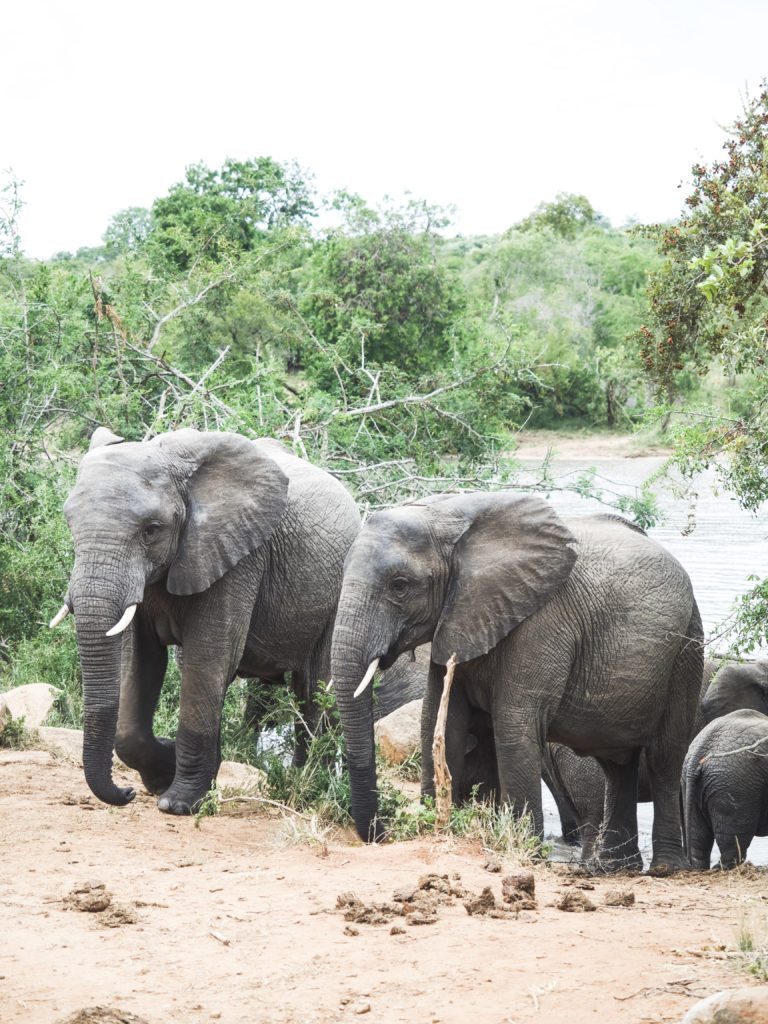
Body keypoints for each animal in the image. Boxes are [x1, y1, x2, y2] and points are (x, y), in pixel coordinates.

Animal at [54, 428, 360, 811]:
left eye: (151, 530)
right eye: (69, 522)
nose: (126, 793)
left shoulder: (240, 556)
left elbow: (208, 657)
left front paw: (177, 803)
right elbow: (141, 660)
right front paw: (162, 776)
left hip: (337, 595)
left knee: (314, 692)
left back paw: (307, 787)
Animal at [331, 493, 704, 872]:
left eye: (400, 585)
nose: (381, 833)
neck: (448, 516)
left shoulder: (541, 620)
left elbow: (513, 725)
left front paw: (526, 851)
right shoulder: (456, 622)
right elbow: (439, 720)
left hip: (687, 648)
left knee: (664, 757)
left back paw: (665, 868)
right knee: (617, 765)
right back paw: (613, 868)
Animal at [684, 712, 768, 872]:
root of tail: (700, 751)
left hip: (692, 783)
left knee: (698, 839)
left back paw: (700, 869)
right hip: (736, 784)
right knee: (734, 842)